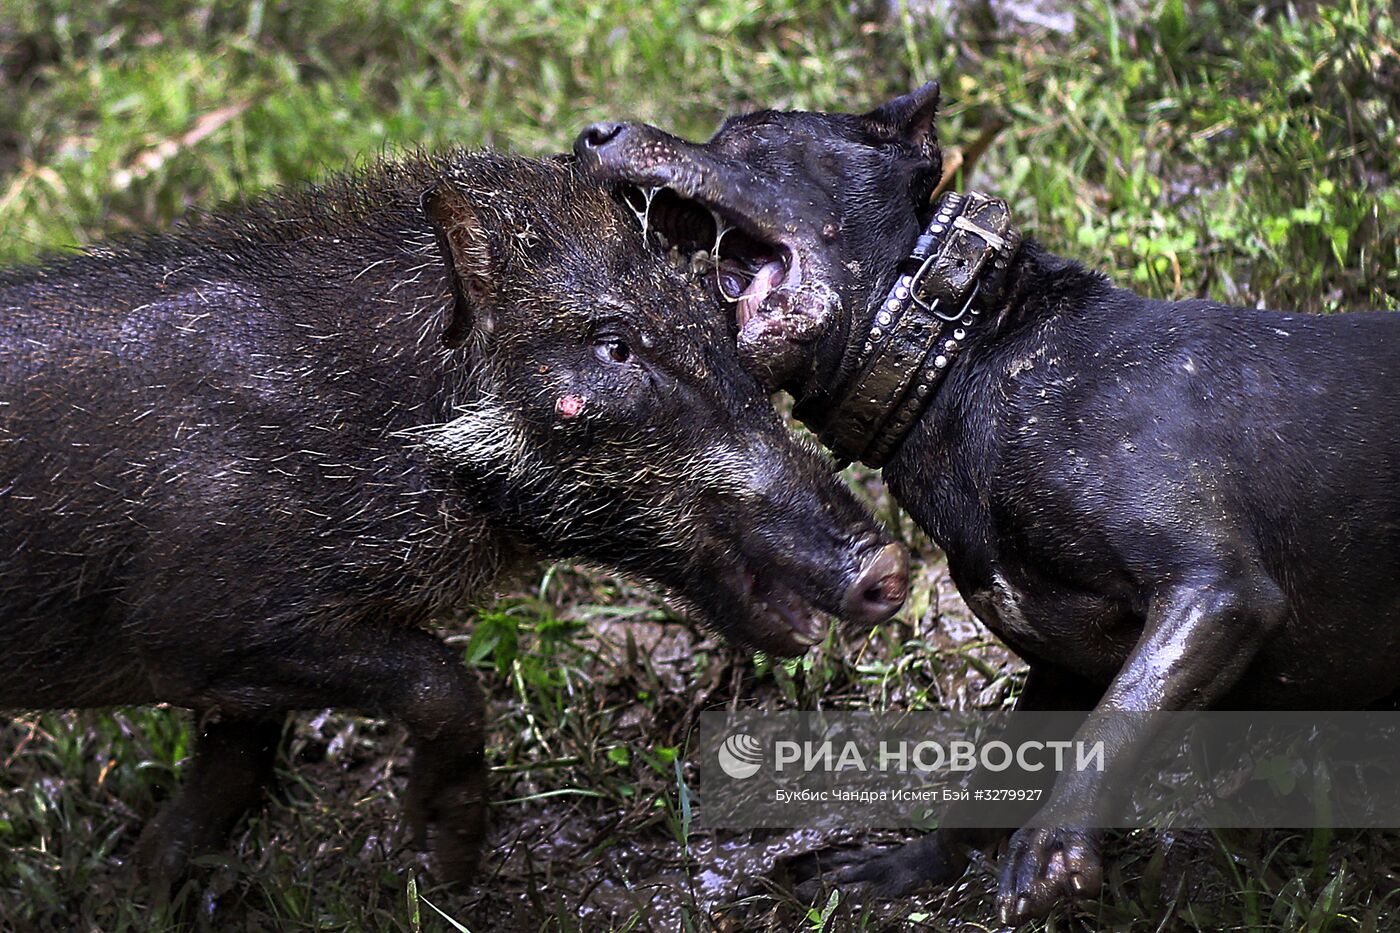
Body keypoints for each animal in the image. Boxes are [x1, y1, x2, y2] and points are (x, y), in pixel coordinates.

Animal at [574, 81, 1400, 924]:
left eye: (754, 132)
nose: (591, 133)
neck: (959, 350)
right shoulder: (1059, 666)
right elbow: (994, 779)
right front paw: (909, 865)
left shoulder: (1216, 593)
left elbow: (1118, 718)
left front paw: (1054, 844)